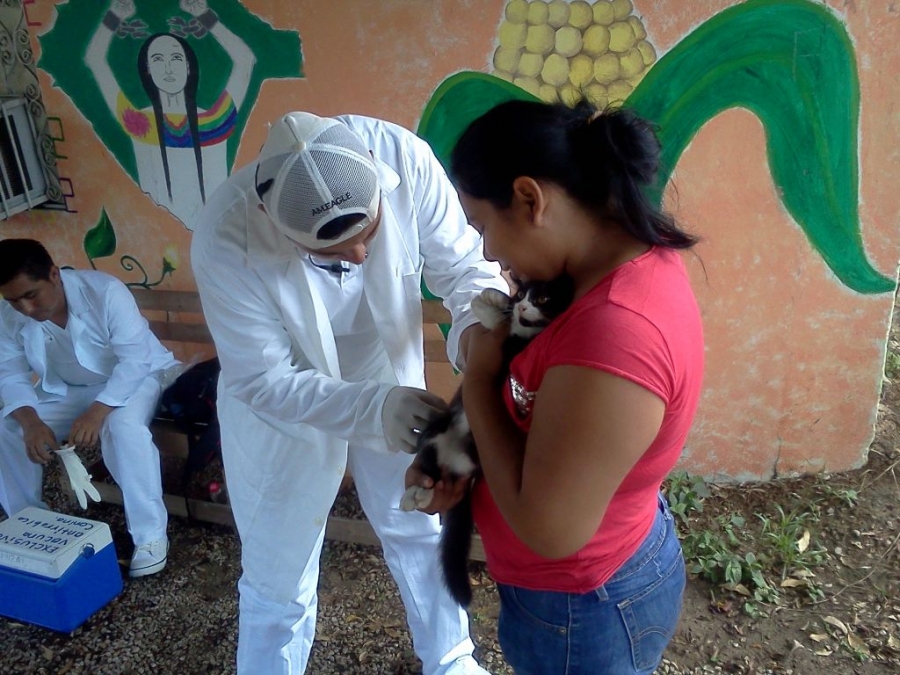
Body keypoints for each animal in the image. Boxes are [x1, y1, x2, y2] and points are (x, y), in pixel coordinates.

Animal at [400, 274, 572, 608]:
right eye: (521, 293)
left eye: (543, 298)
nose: (521, 304)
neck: (529, 334)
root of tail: (453, 456)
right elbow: (503, 323)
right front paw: (492, 301)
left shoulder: (512, 352)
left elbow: (508, 337)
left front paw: (497, 311)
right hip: (434, 433)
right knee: (429, 464)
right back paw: (415, 494)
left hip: (472, 458)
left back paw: (423, 495)